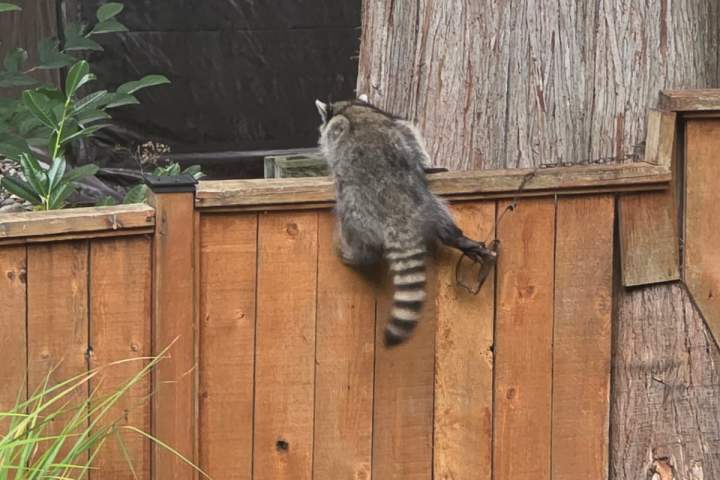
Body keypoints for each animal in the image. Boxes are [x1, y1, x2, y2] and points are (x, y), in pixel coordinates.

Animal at [316, 96, 496, 346]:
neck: (352, 107)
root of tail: (395, 207)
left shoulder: (343, 127)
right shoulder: (394, 125)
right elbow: (411, 139)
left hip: (356, 208)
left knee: (363, 243)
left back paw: (354, 254)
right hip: (421, 203)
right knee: (440, 218)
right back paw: (455, 237)